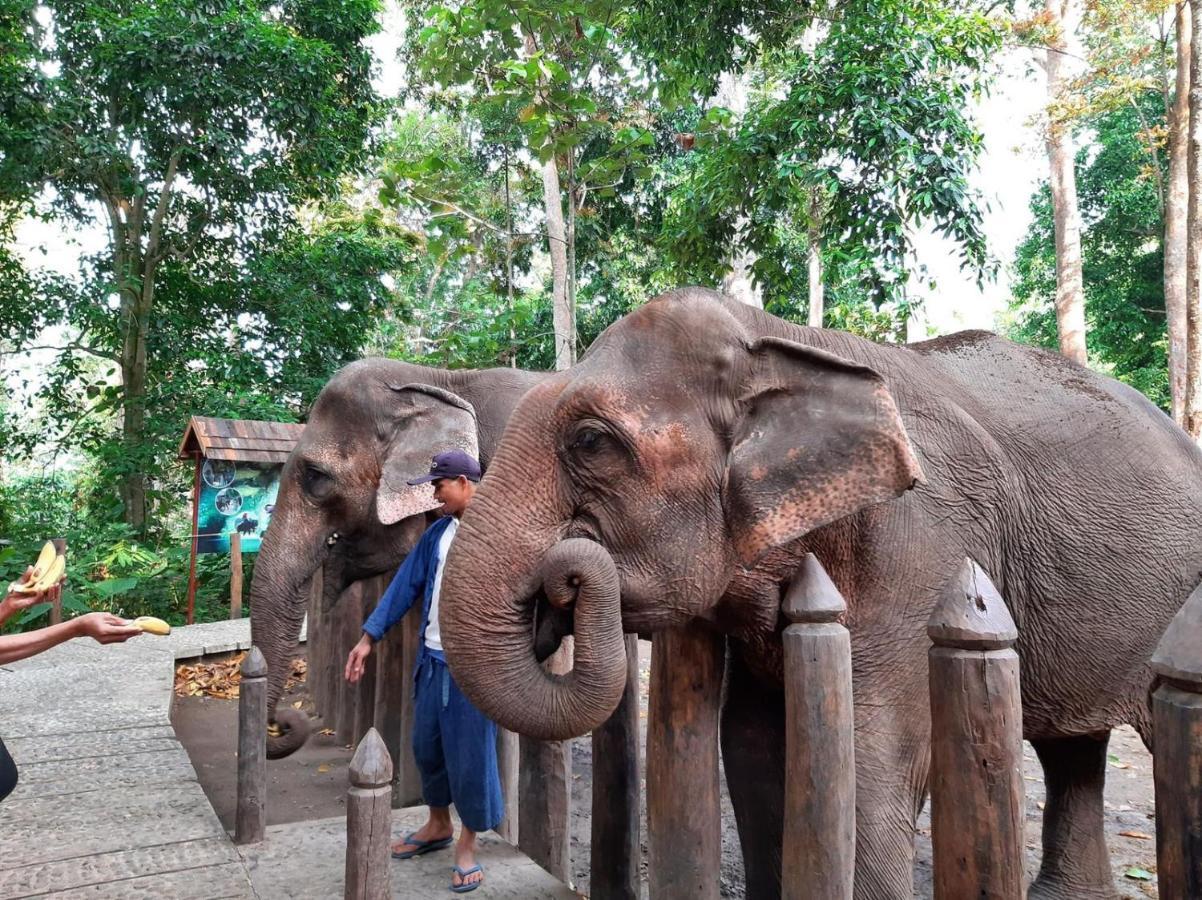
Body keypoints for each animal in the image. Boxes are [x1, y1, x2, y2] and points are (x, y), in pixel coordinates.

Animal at [439, 289, 1202, 898]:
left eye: (592, 441)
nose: (565, 576)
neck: (779, 341)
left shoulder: (924, 547)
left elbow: (879, 759)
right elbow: (751, 746)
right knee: (1074, 747)